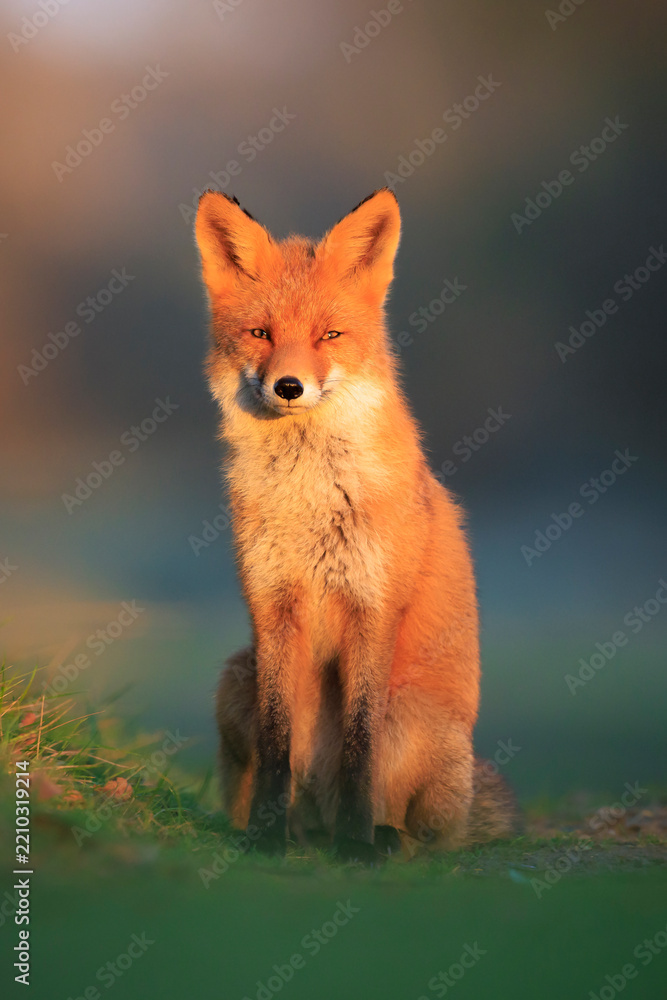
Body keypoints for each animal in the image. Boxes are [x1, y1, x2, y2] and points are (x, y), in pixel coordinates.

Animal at [195, 187, 518, 861]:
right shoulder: (272, 605)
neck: (310, 502)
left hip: (412, 718)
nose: (289, 386)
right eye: (261, 334)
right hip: (236, 674)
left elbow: (357, 748)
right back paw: (295, 830)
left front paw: (358, 845)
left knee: (423, 834)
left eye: (330, 335)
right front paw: (267, 839)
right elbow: (275, 743)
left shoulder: (373, 606)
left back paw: (379, 836)